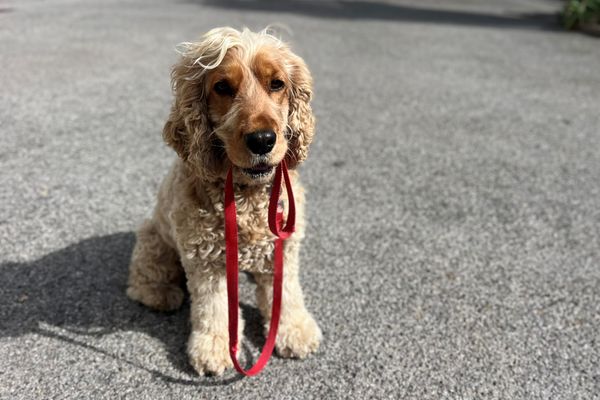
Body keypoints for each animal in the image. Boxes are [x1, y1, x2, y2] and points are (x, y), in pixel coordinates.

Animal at [126, 27, 322, 376]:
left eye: (277, 83)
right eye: (222, 87)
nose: (262, 140)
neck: (248, 194)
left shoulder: (283, 246)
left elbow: (287, 293)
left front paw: (295, 330)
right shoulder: (205, 258)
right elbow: (214, 306)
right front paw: (214, 348)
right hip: (153, 237)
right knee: (141, 276)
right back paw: (160, 293)